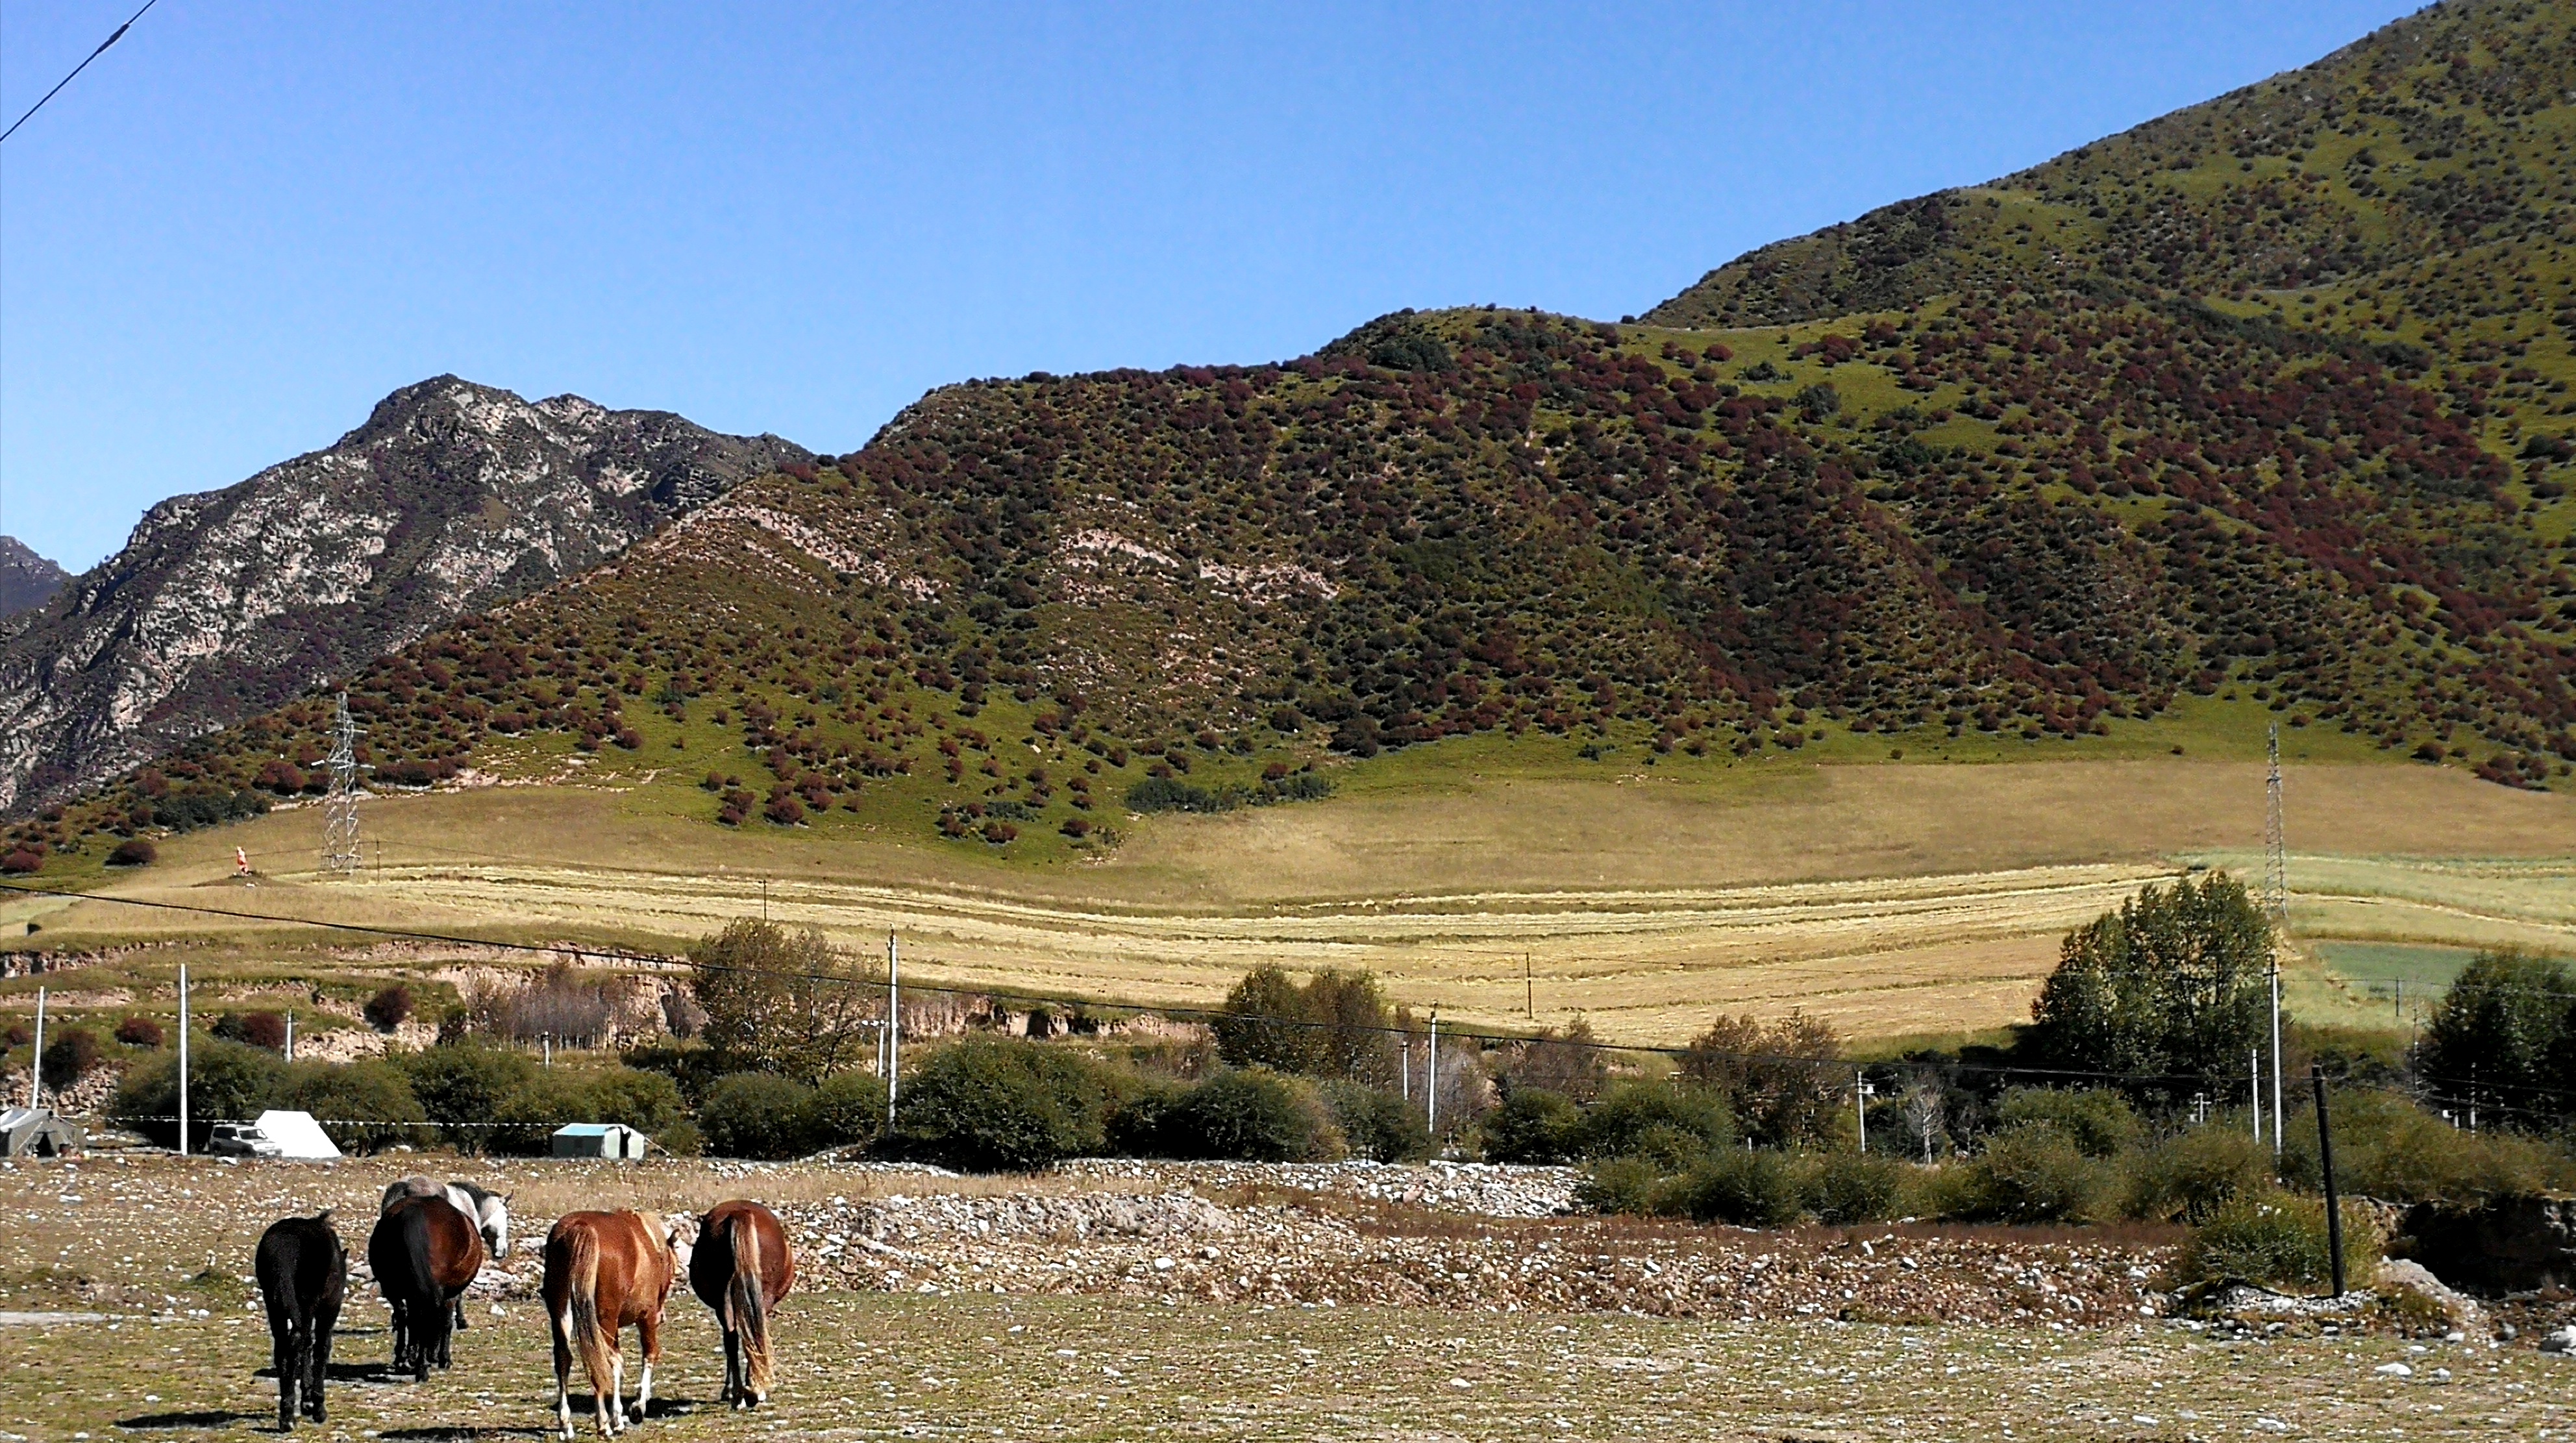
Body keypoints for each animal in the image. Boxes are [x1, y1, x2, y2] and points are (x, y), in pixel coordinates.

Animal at [251, 1211, 345, 1422]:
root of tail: (284, 1248)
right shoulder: (328, 1308)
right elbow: (320, 1348)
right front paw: (315, 1404)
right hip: (307, 1303)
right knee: (299, 1342)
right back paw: (290, 1415)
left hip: (274, 1303)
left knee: (283, 1348)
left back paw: (286, 1412)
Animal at [376, 1190, 489, 1381]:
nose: (434, 1356)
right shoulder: (450, 1294)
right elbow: (445, 1323)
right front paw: (443, 1358)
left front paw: (411, 1355)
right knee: (425, 1319)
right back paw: (422, 1368)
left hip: (392, 1287)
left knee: (403, 1315)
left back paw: (403, 1359)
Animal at [546, 1211, 700, 1433]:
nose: (662, 1316)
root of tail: (580, 1227)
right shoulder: (647, 1317)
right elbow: (649, 1354)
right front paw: (635, 1408)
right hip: (605, 1317)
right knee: (604, 1360)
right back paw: (606, 1422)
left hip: (561, 1312)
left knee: (564, 1358)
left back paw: (566, 1424)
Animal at [690, 1195, 788, 1412]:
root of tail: (739, 1213)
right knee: (750, 1336)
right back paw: (750, 1392)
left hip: (724, 1300)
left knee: (733, 1337)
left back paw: (739, 1395)